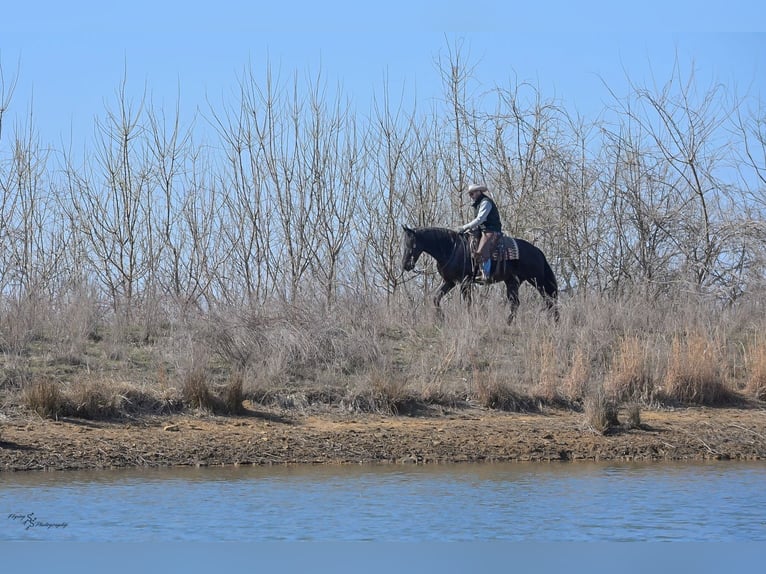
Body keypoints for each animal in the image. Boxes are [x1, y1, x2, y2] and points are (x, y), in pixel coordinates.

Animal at [401, 225, 559, 322]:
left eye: (412, 244)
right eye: (404, 244)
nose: (405, 265)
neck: (451, 248)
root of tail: (537, 251)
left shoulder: (465, 282)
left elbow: (468, 302)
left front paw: (470, 319)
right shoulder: (450, 282)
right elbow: (436, 298)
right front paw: (441, 318)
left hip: (537, 280)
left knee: (550, 300)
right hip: (513, 281)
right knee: (516, 303)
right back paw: (508, 323)